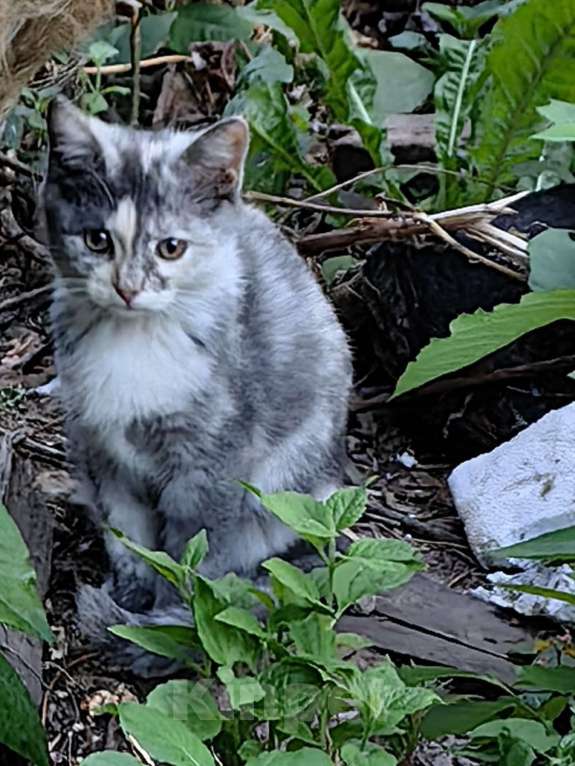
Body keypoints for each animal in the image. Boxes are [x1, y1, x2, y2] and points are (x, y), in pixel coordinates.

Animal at [42, 96, 352, 668]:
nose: (127, 287)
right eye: (98, 240)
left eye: (171, 247)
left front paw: (165, 621)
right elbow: (128, 533)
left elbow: (190, 556)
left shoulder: (213, 464)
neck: (136, 342)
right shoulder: (103, 450)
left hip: (285, 491)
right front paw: (131, 597)